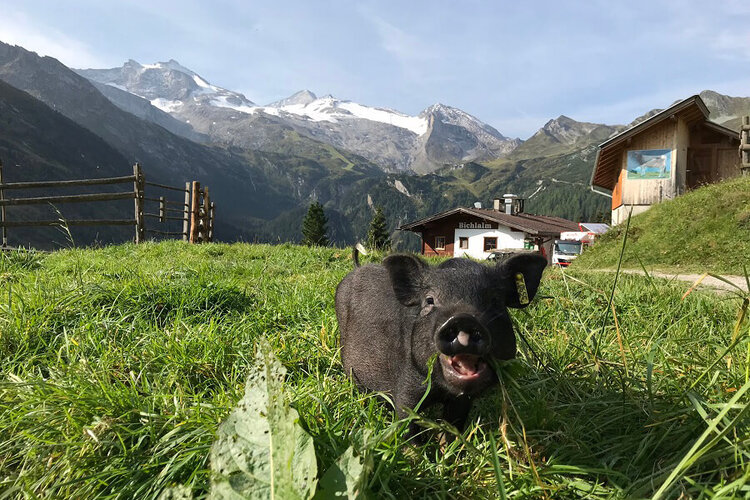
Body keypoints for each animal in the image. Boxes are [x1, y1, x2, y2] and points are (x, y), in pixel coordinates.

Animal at [335, 251, 546, 436]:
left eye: (495, 301)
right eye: (430, 300)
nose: (463, 319)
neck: (442, 391)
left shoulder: (461, 402)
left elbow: (453, 428)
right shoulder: (407, 389)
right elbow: (408, 426)